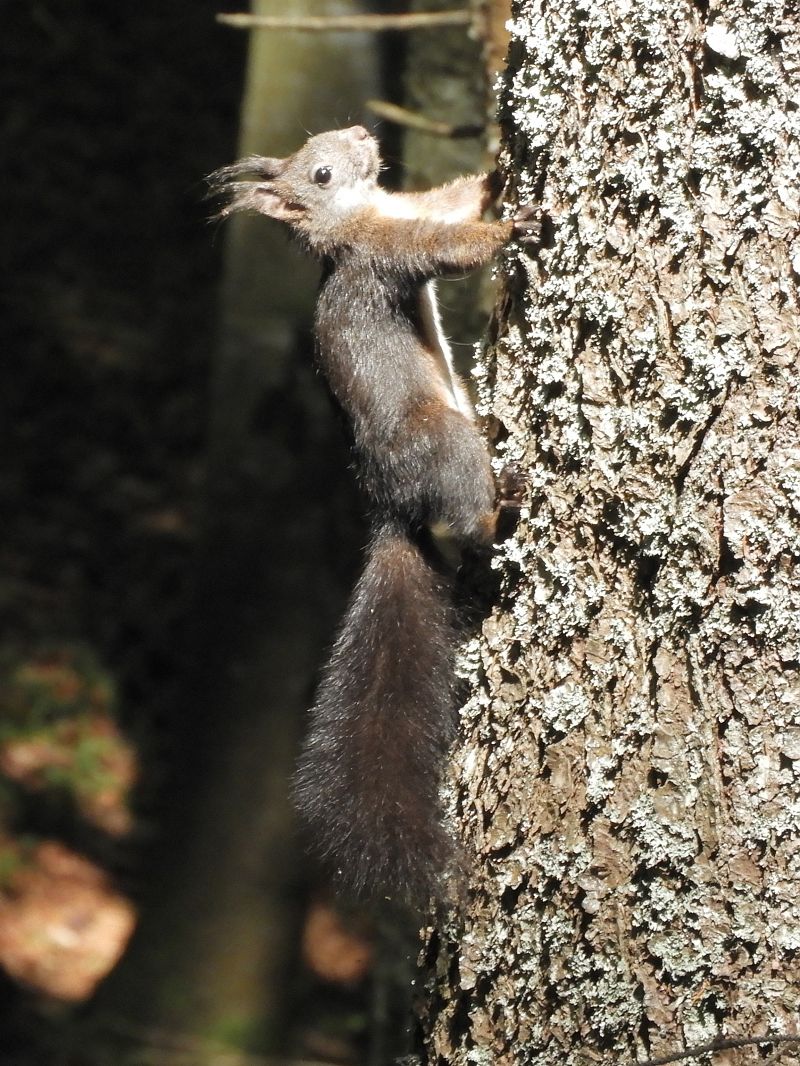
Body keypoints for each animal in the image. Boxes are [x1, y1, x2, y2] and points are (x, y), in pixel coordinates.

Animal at [208, 126, 537, 904]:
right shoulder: (387, 249)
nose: (362, 132)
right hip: (443, 441)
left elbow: (451, 202)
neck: (363, 211)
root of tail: (394, 506)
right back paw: (502, 510)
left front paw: (493, 170)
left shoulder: (406, 211)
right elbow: (449, 246)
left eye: (316, 144)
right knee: (469, 525)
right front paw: (513, 226)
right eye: (321, 172)